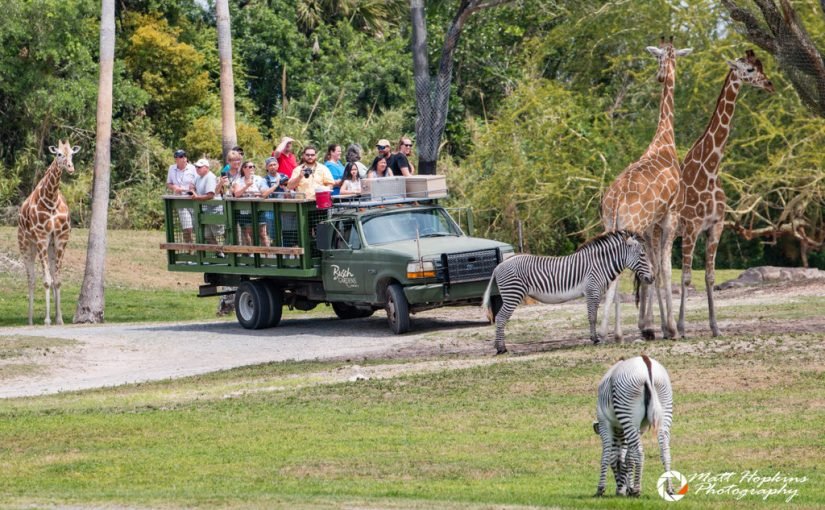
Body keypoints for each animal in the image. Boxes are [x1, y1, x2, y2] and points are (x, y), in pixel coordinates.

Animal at [17, 140, 80, 325]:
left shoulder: (61, 238)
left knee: (50, 275)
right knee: (31, 278)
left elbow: (57, 280)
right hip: (26, 244)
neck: (51, 200)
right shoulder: (41, 238)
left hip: (51, 247)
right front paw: (46, 320)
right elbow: (46, 280)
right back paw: (30, 320)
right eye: (59, 154)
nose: (70, 167)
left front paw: (59, 319)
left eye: (72, 154)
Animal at [600, 38, 692, 342]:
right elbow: (665, 268)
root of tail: (615, 201)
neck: (664, 139)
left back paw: (605, 331)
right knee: (619, 271)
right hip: (632, 226)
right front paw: (670, 328)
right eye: (659, 57)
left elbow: (652, 269)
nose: (661, 75)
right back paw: (613, 333)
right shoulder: (670, 216)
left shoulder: (652, 225)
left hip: (610, 225)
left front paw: (652, 326)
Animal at [677, 50, 774, 338]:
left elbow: (709, 276)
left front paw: (715, 327)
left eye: (762, 65)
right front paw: (682, 328)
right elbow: (686, 277)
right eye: (749, 69)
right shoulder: (691, 226)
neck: (710, 170)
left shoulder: (715, 225)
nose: (770, 84)